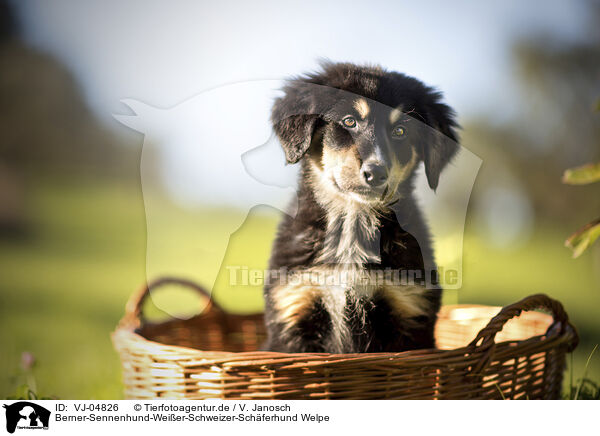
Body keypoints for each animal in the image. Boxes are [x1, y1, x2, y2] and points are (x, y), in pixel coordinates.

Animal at [264, 62, 460, 354]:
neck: (354, 219)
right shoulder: (295, 304)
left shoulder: (409, 307)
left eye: (400, 131)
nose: (376, 173)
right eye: (349, 121)